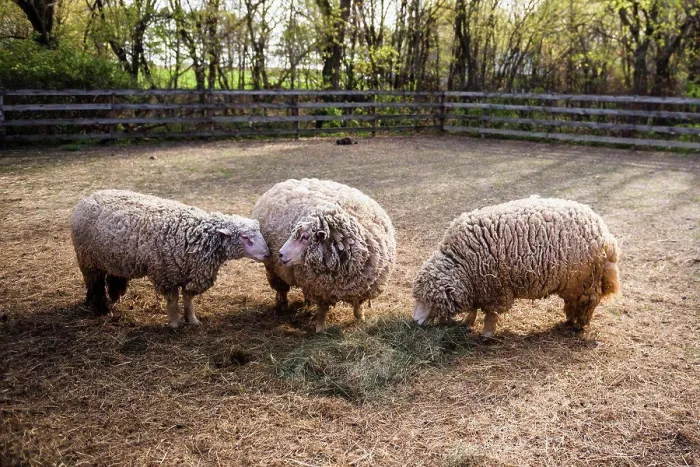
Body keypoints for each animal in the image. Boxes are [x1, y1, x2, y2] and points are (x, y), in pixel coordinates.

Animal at [71, 189, 270, 328]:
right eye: (245, 237)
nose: (267, 254)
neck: (195, 235)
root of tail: (89, 197)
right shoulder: (166, 273)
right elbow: (173, 300)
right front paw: (174, 323)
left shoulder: (191, 272)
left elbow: (188, 299)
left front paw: (192, 320)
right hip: (88, 258)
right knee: (94, 283)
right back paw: (100, 308)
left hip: (114, 257)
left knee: (111, 276)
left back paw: (112, 296)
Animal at [252, 178, 396, 332]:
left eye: (304, 237)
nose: (280, 254)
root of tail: (283, 183)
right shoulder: (321, 290)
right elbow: (322, 310)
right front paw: (320, 329)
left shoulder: (361, 287)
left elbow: (358, 304)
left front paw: (361, 318)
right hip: (272, 268)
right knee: (281, 288)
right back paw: (283, 305)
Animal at [412, 197, 620, 337]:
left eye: (426, 299)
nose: (415, 321)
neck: (463, 263)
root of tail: (606, 237)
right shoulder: (477, 288)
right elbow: (474, 308)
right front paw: (467, 321)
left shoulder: (494, 289)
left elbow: (490, 314)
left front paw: (486, 334)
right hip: (573, 284)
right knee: (573, 303)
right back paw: (569, 320)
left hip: (585, 282)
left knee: (588, 303)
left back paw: (579, 325)